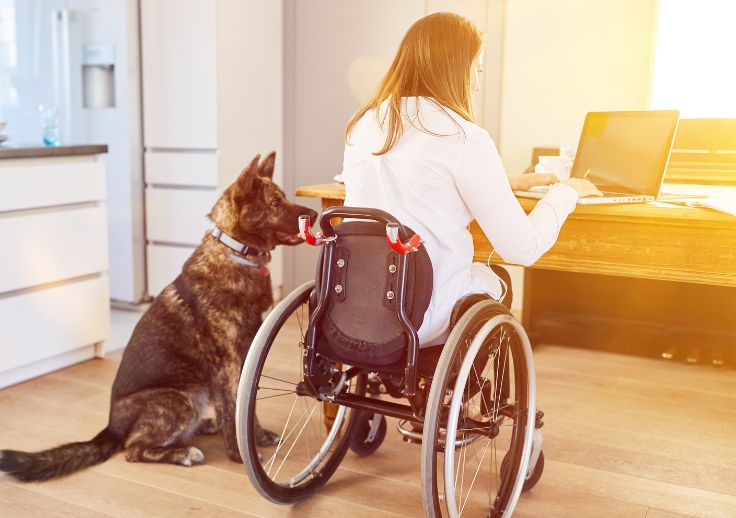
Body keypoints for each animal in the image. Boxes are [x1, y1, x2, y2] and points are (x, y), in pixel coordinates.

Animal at [0, 152, 316, 482]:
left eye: (283, 198)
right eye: (275, 203)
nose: (315, 214)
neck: (237, 253)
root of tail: (111, 428)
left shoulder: (246, 358)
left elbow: (245, 407)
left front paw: (256, 436)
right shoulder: (226, 363)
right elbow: (233, 409)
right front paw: (238, 453)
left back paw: (206, 426)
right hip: (177, 400)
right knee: (133, 448)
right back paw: (183, 452)